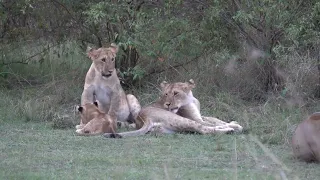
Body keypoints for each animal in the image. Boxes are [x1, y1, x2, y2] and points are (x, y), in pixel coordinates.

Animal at [104, 79, 244, 138]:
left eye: (176, 93)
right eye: (166, 94)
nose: (167, 104)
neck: (191, 99)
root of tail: (143, 118)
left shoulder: (200, 115)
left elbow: (214, 118)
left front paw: (231, 121)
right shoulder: (193, 118)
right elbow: (210, 122)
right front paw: (235, 124)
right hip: (180, 119)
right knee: (204, 129)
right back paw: (231, 130)